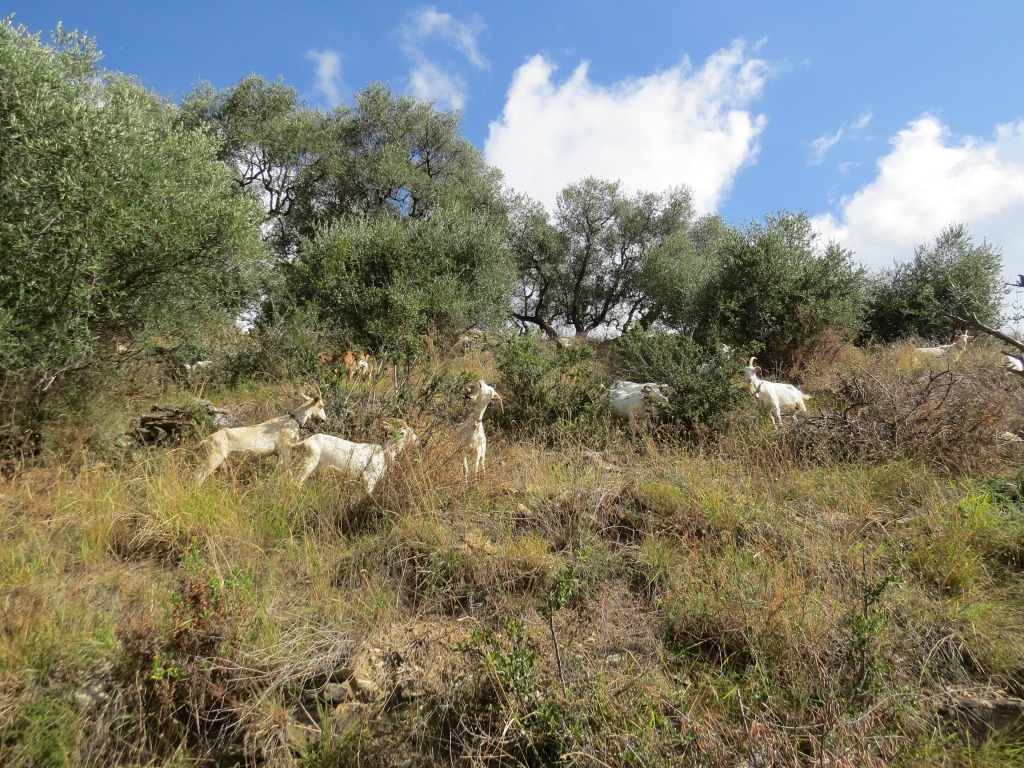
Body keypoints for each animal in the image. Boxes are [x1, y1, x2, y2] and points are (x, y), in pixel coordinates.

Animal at [195, 390, 327, 484]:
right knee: (198, 477)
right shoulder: (285, 448)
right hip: (214, 457)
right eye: (321, 405)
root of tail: (205, 441)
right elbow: (288, 468)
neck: (292, 421)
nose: (324, 419)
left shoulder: (278, 453)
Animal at [287, 419, 418, 490]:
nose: (417, 440)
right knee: (295, 482)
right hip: (308, 464)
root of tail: (304, 443)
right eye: (403, 433)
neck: (383, 453)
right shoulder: (369, 479)